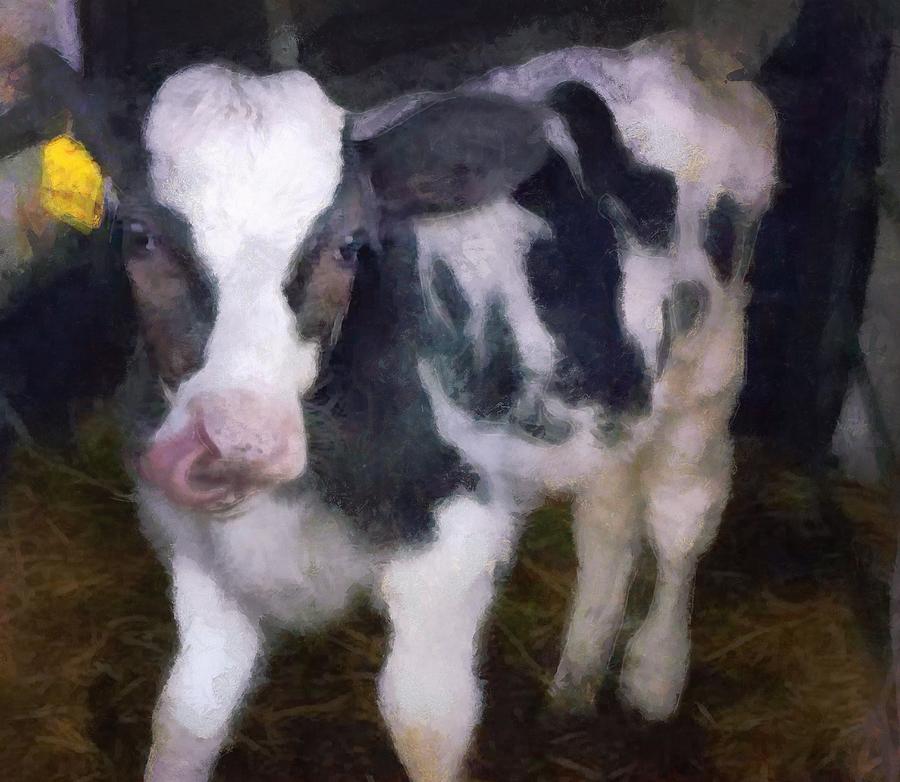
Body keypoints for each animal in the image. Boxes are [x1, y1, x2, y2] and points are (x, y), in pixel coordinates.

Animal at [0, 31, 777, 782]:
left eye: (349, 246)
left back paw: (654, 676)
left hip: (710, 365)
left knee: (681, 517)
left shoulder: (454, 545)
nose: (239, 442)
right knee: (606, 514)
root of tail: (671, 60)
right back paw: (575, 680)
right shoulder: (199, 554)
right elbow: (187, 719)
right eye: (139, 236)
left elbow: (424, 724)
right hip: (612, 393)